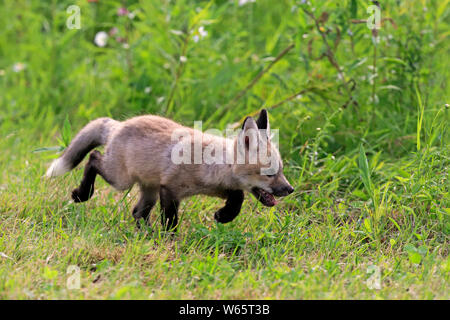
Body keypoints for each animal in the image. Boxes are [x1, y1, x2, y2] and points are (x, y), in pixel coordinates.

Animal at [44, 109, 292, 230]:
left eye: (281, 171)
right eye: (270, 174)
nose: (290, 189)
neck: (212, 165)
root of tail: (119, 125)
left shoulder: (220, 189)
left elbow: (238, 196)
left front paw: (224, 216)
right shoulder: (170, 189)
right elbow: (171, 220)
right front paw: (170, 239)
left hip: (149, 190)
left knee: (137, 212)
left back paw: (146, 234)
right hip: (121, 180)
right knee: (93, 158)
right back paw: (82, 194)